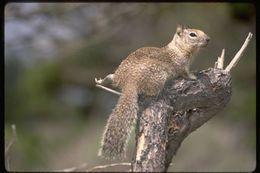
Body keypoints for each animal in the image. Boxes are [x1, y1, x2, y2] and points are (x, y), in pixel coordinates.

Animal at [97, 24, 209, 159]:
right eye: (193, 34)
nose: (208, 39)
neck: (178, 48)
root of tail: (129, 81)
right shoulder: (182, 66)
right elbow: (186, 74)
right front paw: (194, 77)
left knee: (111, 78)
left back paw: (103, 80)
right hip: (158, 76)